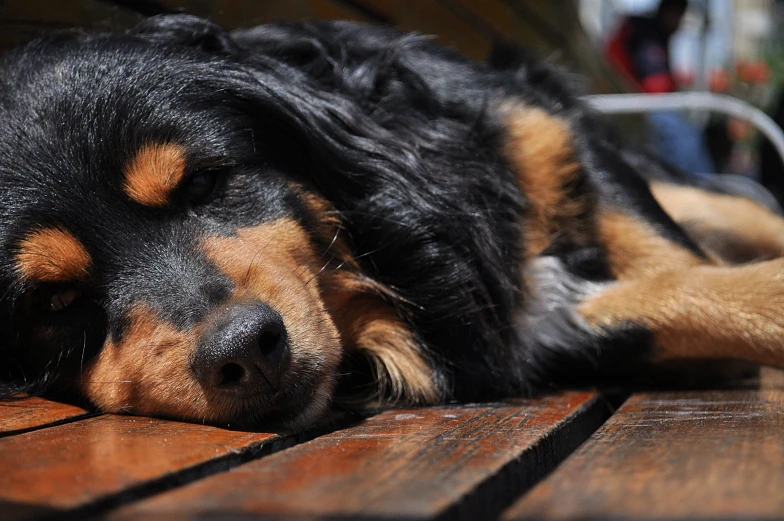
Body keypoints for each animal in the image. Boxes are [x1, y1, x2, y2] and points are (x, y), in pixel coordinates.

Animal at [1, 14, 784, 428]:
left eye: (205, 182)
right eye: (55, 302)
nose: (245, 352)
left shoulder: (549, 136)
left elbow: (672, 260)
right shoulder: (542, 332)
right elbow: (673, 297)